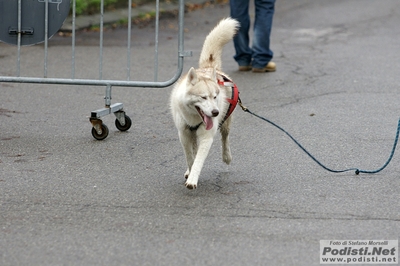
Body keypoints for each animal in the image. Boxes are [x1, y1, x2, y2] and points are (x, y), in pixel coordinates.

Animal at [170, 18, 239, 189]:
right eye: (203, 97)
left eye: (215, 97)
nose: (215, 112)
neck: (194, 118)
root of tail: (209, 67)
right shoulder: (184, 134)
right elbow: (190, 157)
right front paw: (190, 172)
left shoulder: (207, 136)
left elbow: (199, 160)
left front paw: (193, 178)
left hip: (226, 122)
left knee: (225, 138)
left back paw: (226, 156)